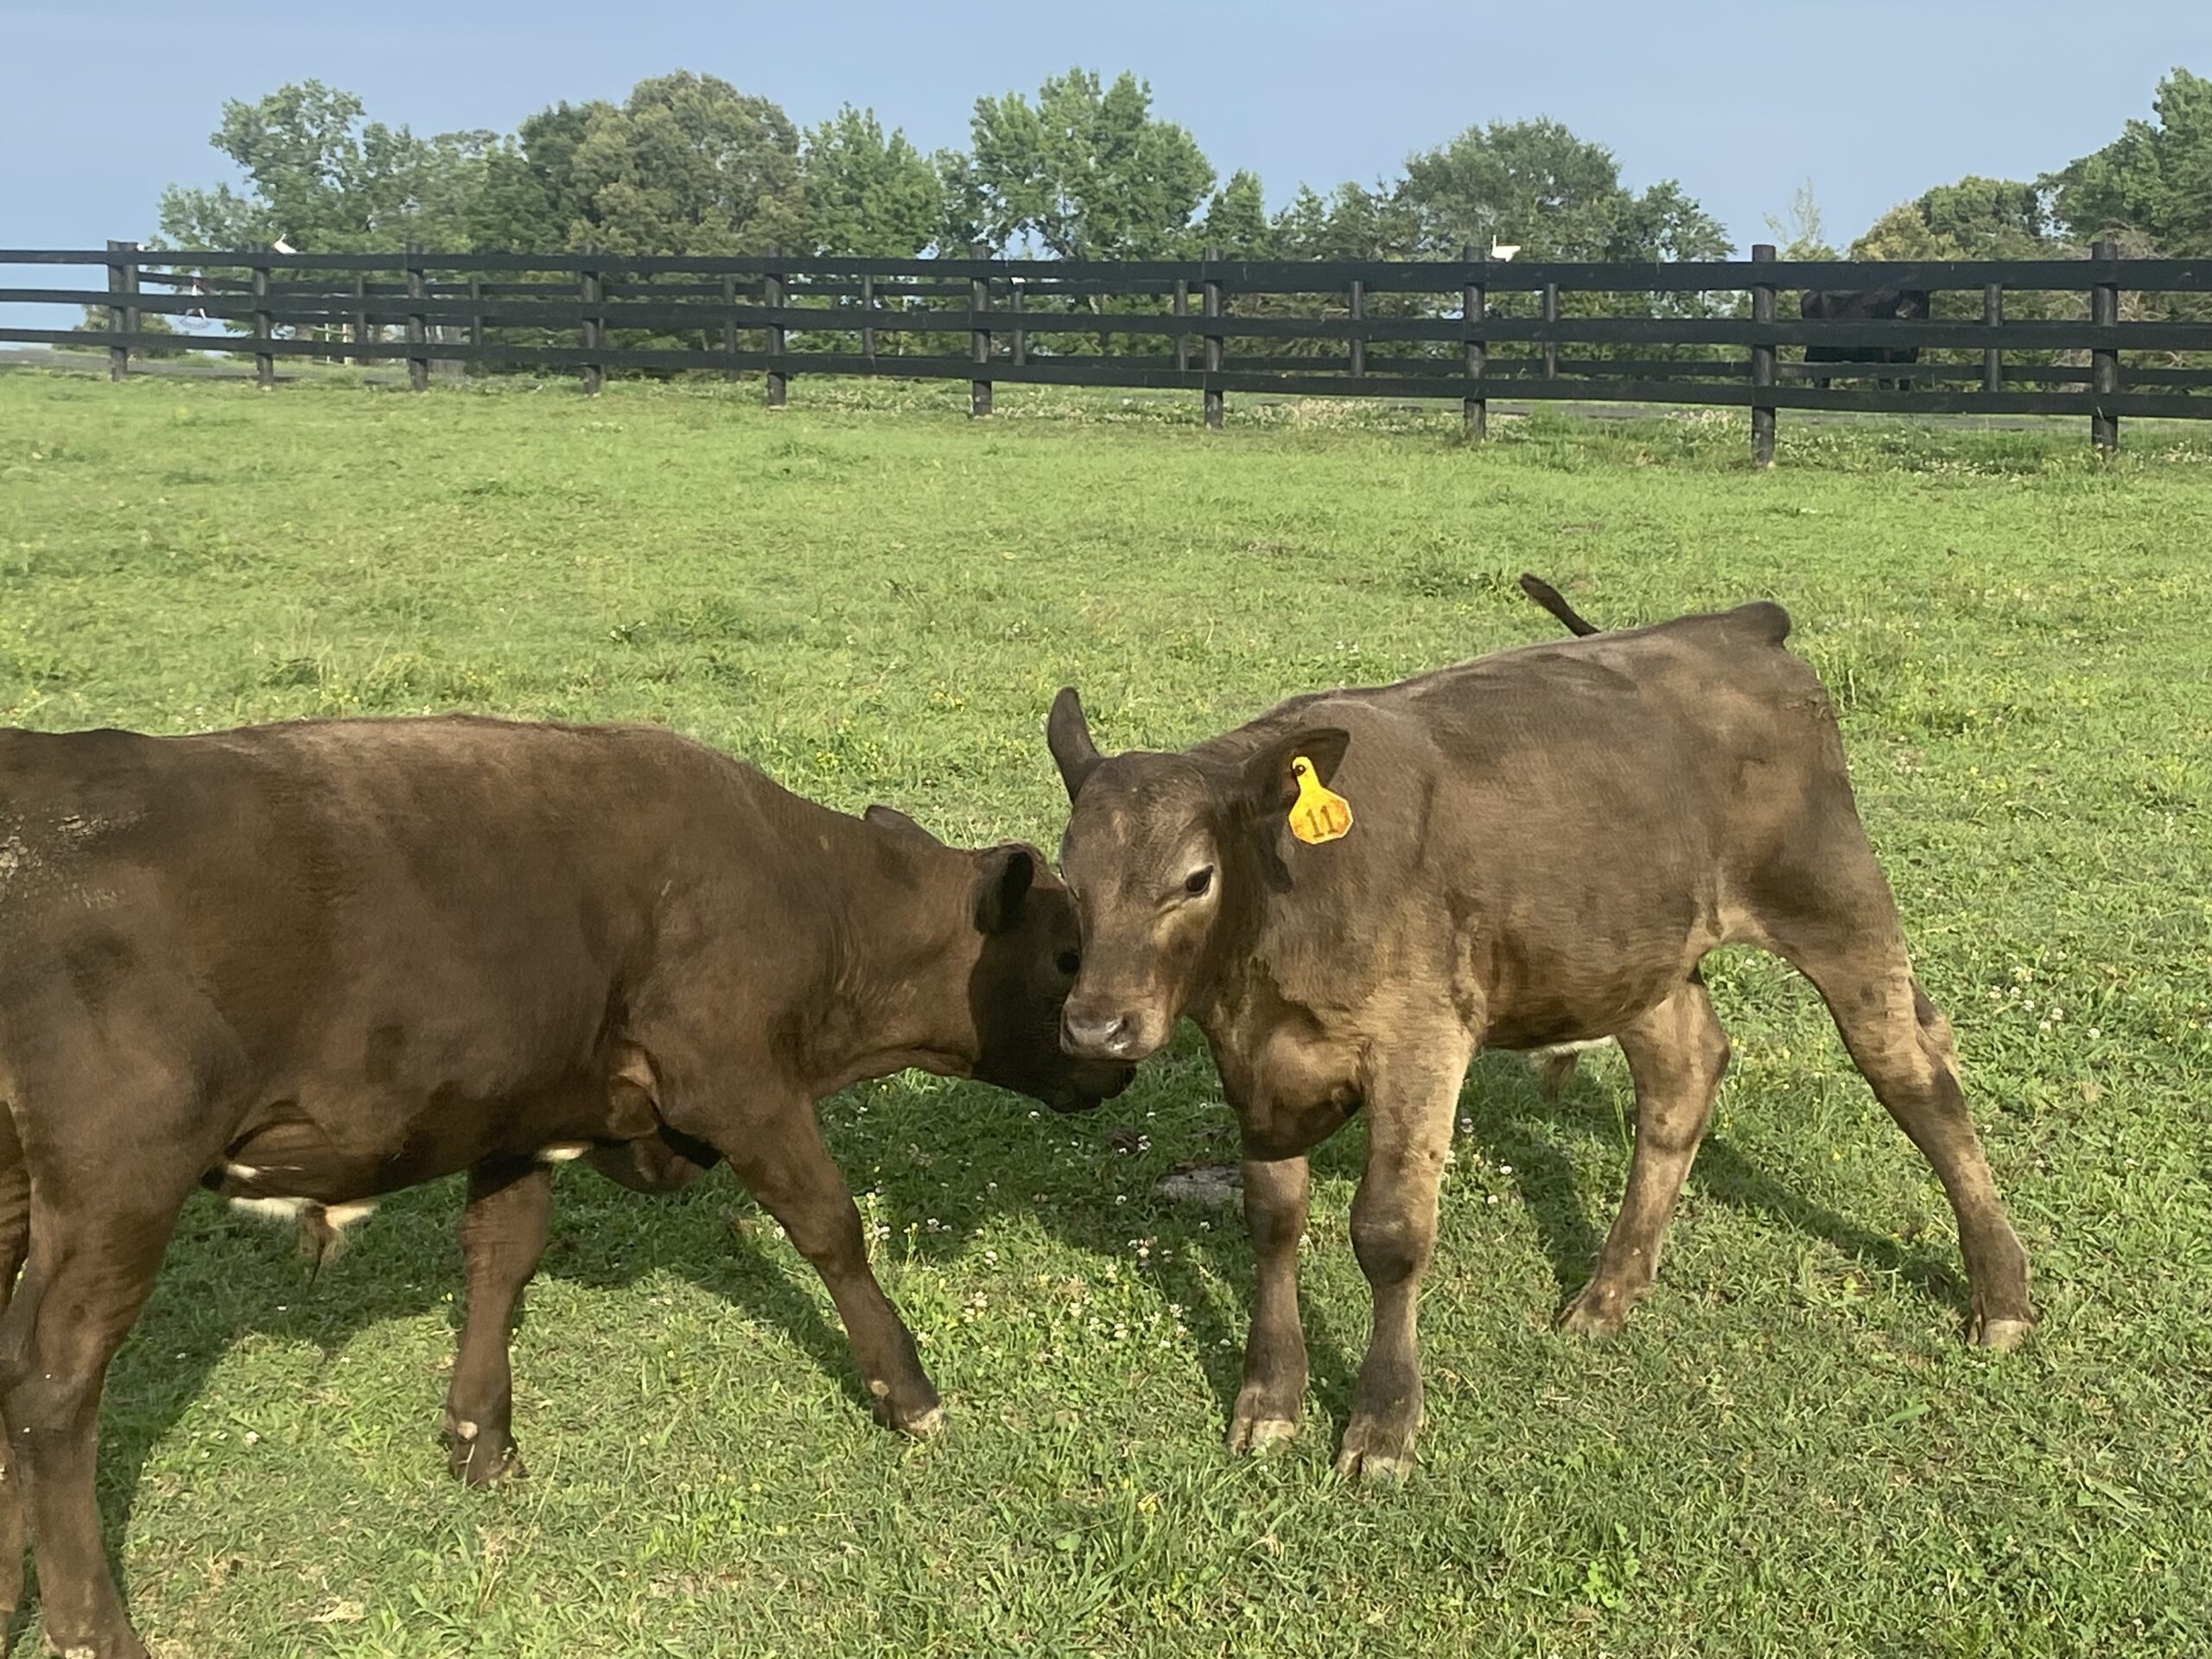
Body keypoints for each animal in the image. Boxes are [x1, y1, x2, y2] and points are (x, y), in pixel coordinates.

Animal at [0, 714, 1132, 1659]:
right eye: (1067, 952)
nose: (1117, 1061)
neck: (808, 893)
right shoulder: (737, 1082)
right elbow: (828, 1227)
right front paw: (910, 1393)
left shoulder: (523, 1111)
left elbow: (501, 1259)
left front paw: (480, 1438)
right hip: (118, 1184)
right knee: (53, 1386)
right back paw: (94, 1627)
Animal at [1043, 578, 2034, 1481]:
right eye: (1070, 878)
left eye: (1195, 879)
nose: (1096, 1026)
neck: (1286, 907)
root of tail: (1733, 625)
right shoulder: (1257, 1064)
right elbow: (1273, 1219)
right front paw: (1268, 1399)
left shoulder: (1421, 1041)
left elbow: (1389, 1234)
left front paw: (1382, 1426)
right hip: (1634, 950)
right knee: (1684, 1075)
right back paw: (1608, 1293)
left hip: (1836, 900)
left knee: (1916, 1076)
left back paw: (2001, 1295)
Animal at [1800, 286, 1931, 391]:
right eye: (1901, 295)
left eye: (1921, 296)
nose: (1900, 314)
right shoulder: (1882, 355)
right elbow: (1887, 383)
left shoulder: (1912, 355)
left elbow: (1905, 382)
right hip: (1817, 351)